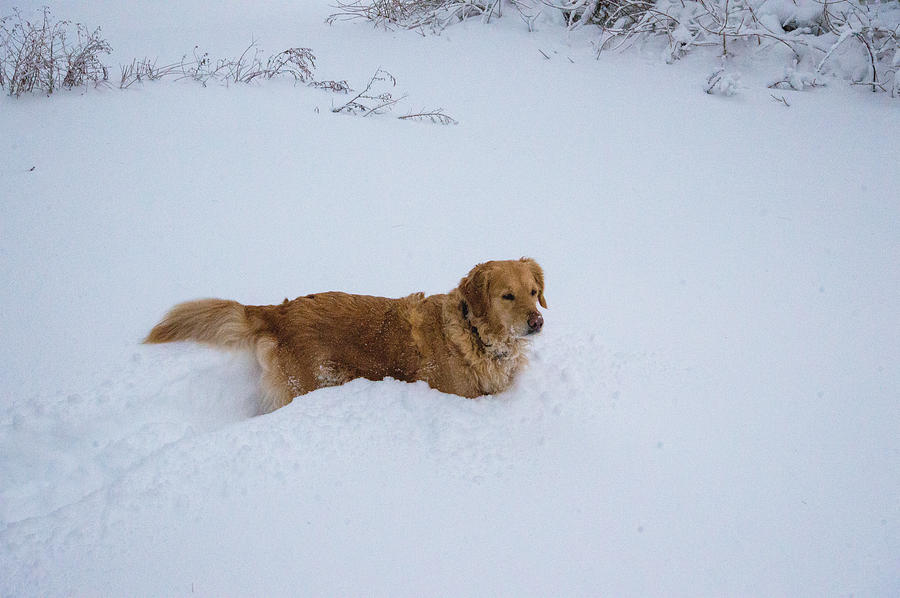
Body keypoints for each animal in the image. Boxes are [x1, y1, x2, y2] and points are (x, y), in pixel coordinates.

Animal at [144, 258, 544, 412]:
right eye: (507, 296)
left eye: (534, 291)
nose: (537, 322)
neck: (475, 335)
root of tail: (279, 310)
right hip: (305, 384)